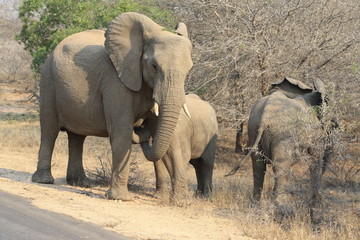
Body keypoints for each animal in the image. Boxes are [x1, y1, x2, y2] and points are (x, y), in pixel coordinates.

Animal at [31, 11, 194, 201]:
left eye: (188, 70)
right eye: (154, 66)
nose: (141, 132)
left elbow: (171, 140)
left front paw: (183, 202)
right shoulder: (115, 82)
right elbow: (121, 130)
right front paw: (119, 198)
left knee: (77, 136)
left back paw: (80, 183)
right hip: (48, 80)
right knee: (49, 130)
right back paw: (44, 180)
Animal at [228, 78, 332, 220]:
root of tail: (264, 115)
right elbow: (316, 159)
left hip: (253, 129)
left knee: (258, 166)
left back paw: (256, 205)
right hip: (282, 134)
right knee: (280, 167)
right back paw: (281, 209)